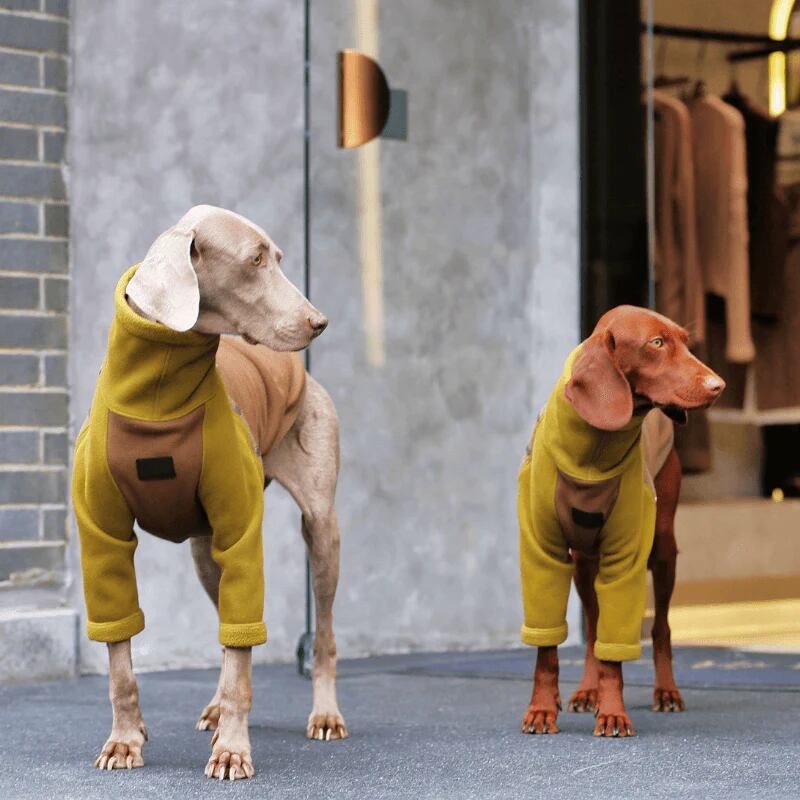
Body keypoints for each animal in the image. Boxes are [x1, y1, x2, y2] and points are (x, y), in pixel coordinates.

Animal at [72, 205, 347, 780]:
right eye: (256, 260)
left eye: (278, 257)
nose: (319, 321)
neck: (159, 391)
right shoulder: (101, 537)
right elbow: (120, 658)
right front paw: (124, 741)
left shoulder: (241, 531)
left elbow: (241, 653)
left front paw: (233, 750)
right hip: (204, 555)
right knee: (228, 624)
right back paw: (217, 710)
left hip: (321, 526)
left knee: (321, 633)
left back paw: (324, 715)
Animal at [517, 306, 723, 737]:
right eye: (656, 343)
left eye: (685, 341)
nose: (719, 385)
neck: (593, 449)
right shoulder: (542, 553)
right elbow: (547, 650)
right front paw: (542, 708)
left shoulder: (626, 558)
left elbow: (615, 654)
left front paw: (612, 712)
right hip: (583, 563)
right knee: (594, 626)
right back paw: (585, 691)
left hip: (662, 548)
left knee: (660, 628)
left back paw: (666, 692)